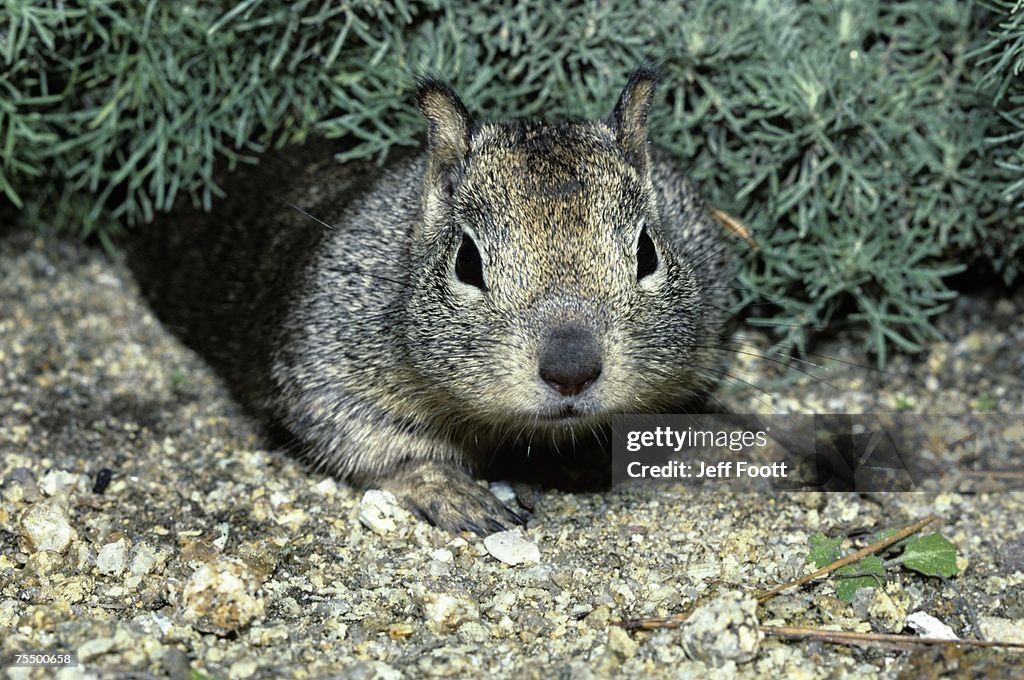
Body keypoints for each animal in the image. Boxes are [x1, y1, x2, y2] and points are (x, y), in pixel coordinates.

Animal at [130, 69, 737, 532]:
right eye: (466, 261)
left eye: (647, 252)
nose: (572, 370)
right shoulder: (323, 367)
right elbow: (378, 448)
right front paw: (456, 493)